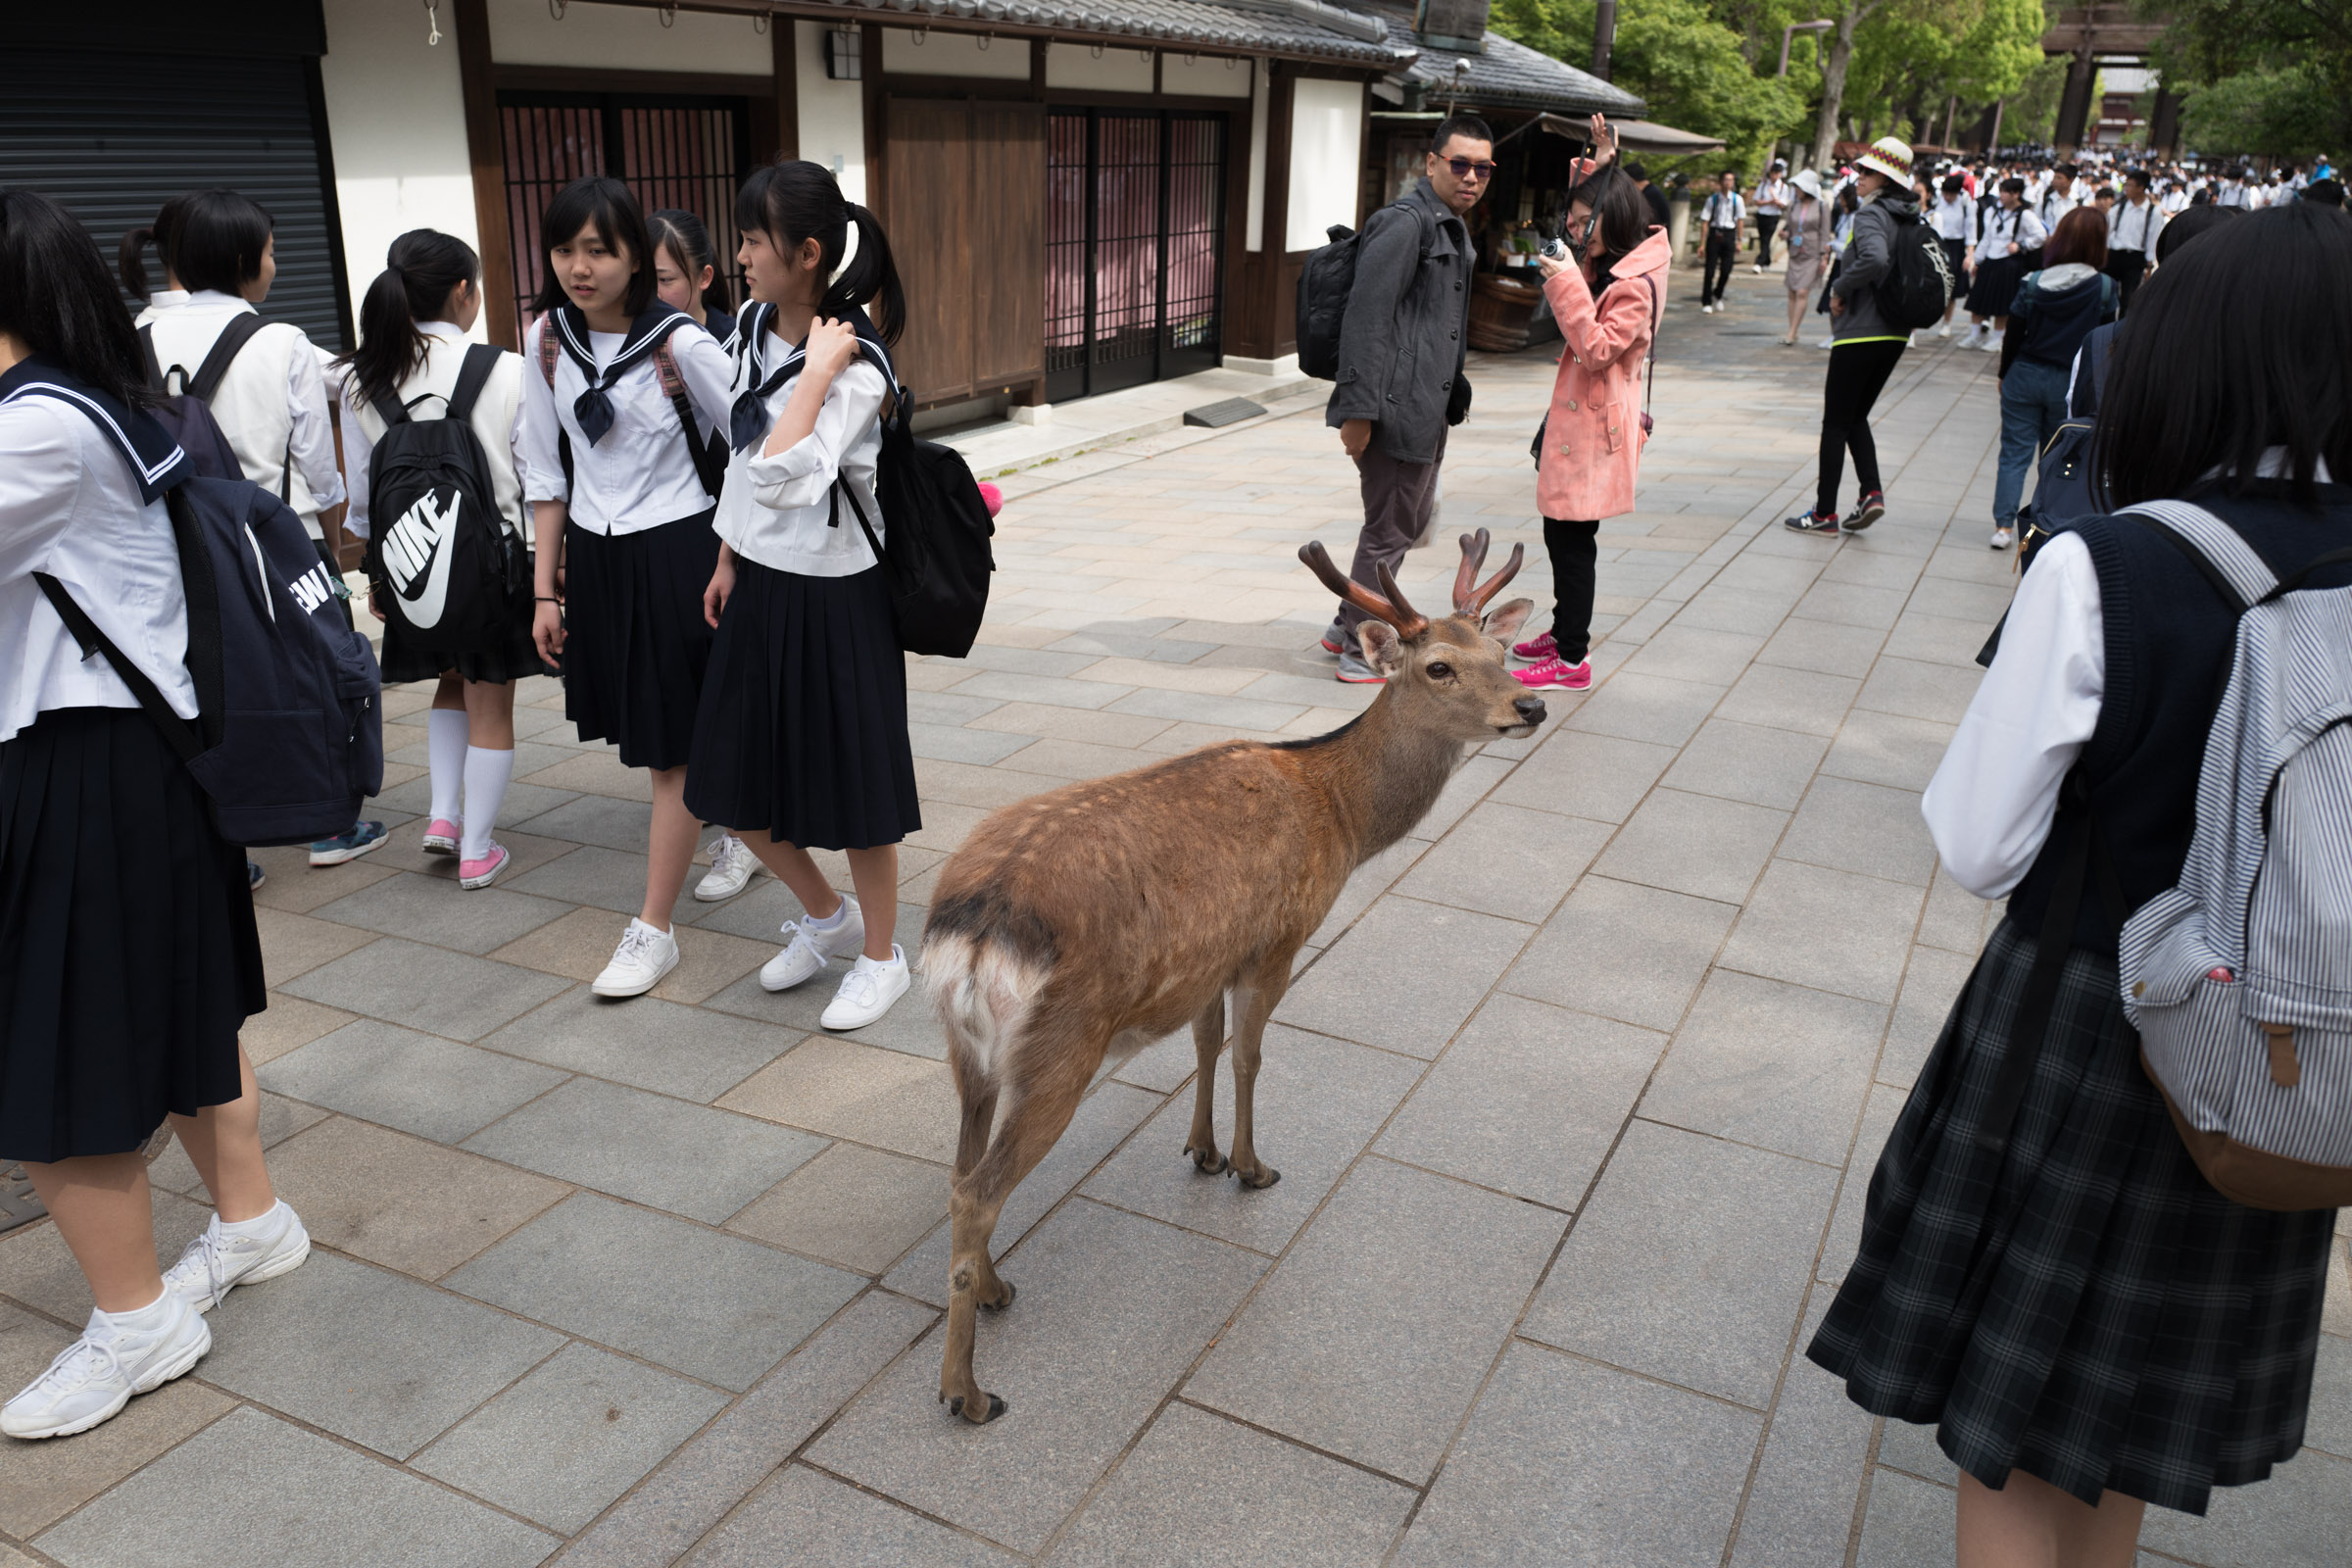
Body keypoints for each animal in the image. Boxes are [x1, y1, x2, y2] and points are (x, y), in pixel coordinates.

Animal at [926, 526, 1552, 1419]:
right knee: (980, 1189)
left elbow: (1207, 1044)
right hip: (1061, 1047)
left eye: (1501, 650)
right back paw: (968, 1391)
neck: (1343, 816)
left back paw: (993, 1288)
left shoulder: (1210, 958)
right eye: (1439, 666)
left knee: (959, 1172)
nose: (1530, 707)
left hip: (967, 1050)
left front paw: (1203, 1151)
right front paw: (1254, 1168)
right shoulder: (1281, 937)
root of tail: (977, 927)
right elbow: (1253, 1054)